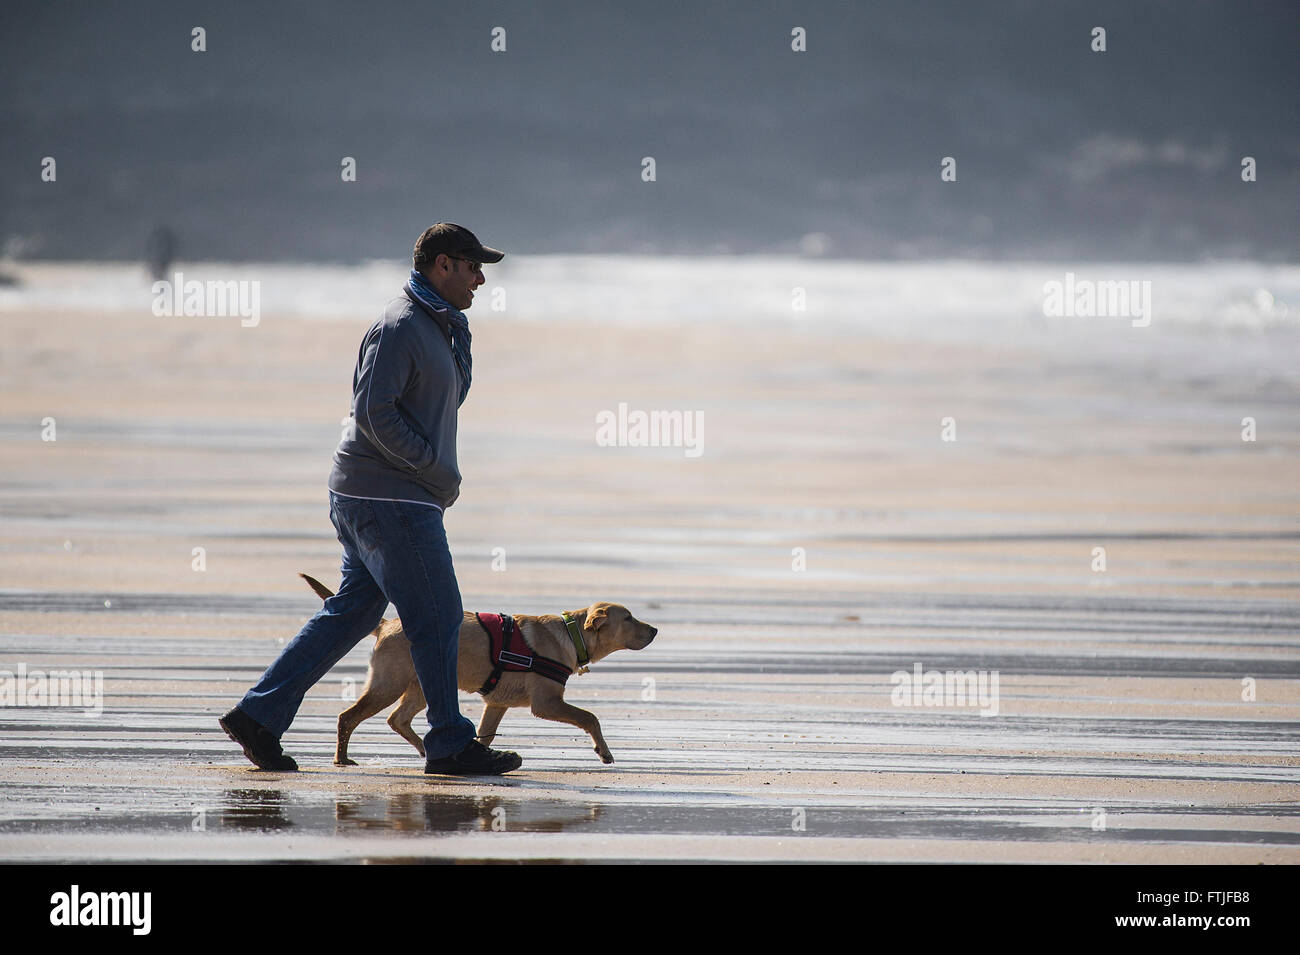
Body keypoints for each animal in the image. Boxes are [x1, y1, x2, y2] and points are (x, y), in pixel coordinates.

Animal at [297, 574, 655, 769]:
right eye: (628, 618)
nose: (655, 630)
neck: (571, 633)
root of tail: (386, 624)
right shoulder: (546, 703)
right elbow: (589, 717)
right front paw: (604, 751)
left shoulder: (496, 703)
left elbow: (486, 733)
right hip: (388, 684)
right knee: (348, 717)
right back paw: (342, 758)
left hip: (420, 685)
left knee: (398, 719)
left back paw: (426, 750)